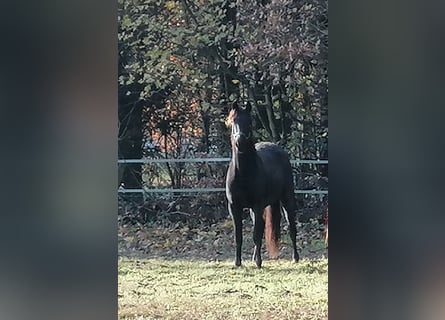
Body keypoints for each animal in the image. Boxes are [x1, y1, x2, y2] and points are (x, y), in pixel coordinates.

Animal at [225, 100, 298, 268]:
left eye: (249, 121)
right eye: (234, 121)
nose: (240, 142)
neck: (243, 174)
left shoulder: (257, 206)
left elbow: (256, 235)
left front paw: (259, 263)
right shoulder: (234, 207)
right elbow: (239, 236)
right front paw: (238, 263)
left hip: (286, 199)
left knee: (291, 226)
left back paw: (295, 257)